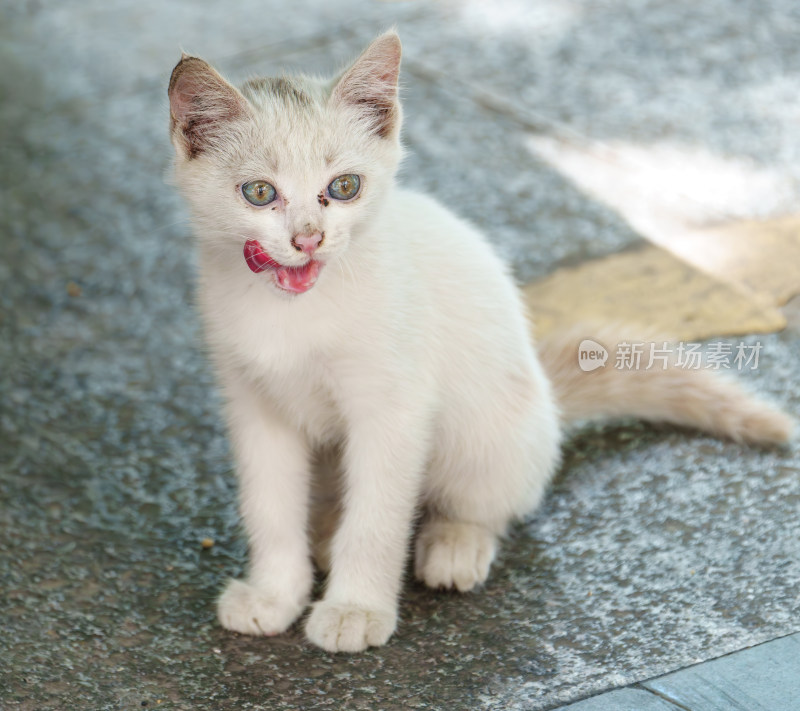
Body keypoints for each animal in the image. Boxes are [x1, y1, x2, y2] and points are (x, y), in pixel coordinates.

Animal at [169, 34, 792, 656]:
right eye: (259, 193)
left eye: (344, 187)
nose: (308, 239)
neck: (294, 310)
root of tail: (547, 401)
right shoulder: (254, 407)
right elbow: (270, 509)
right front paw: (274, 594)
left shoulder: (395, 409)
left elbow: (376, 519)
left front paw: (355, 609)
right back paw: (323, 535)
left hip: (489, 429)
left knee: (486, 503)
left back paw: (453, 543)